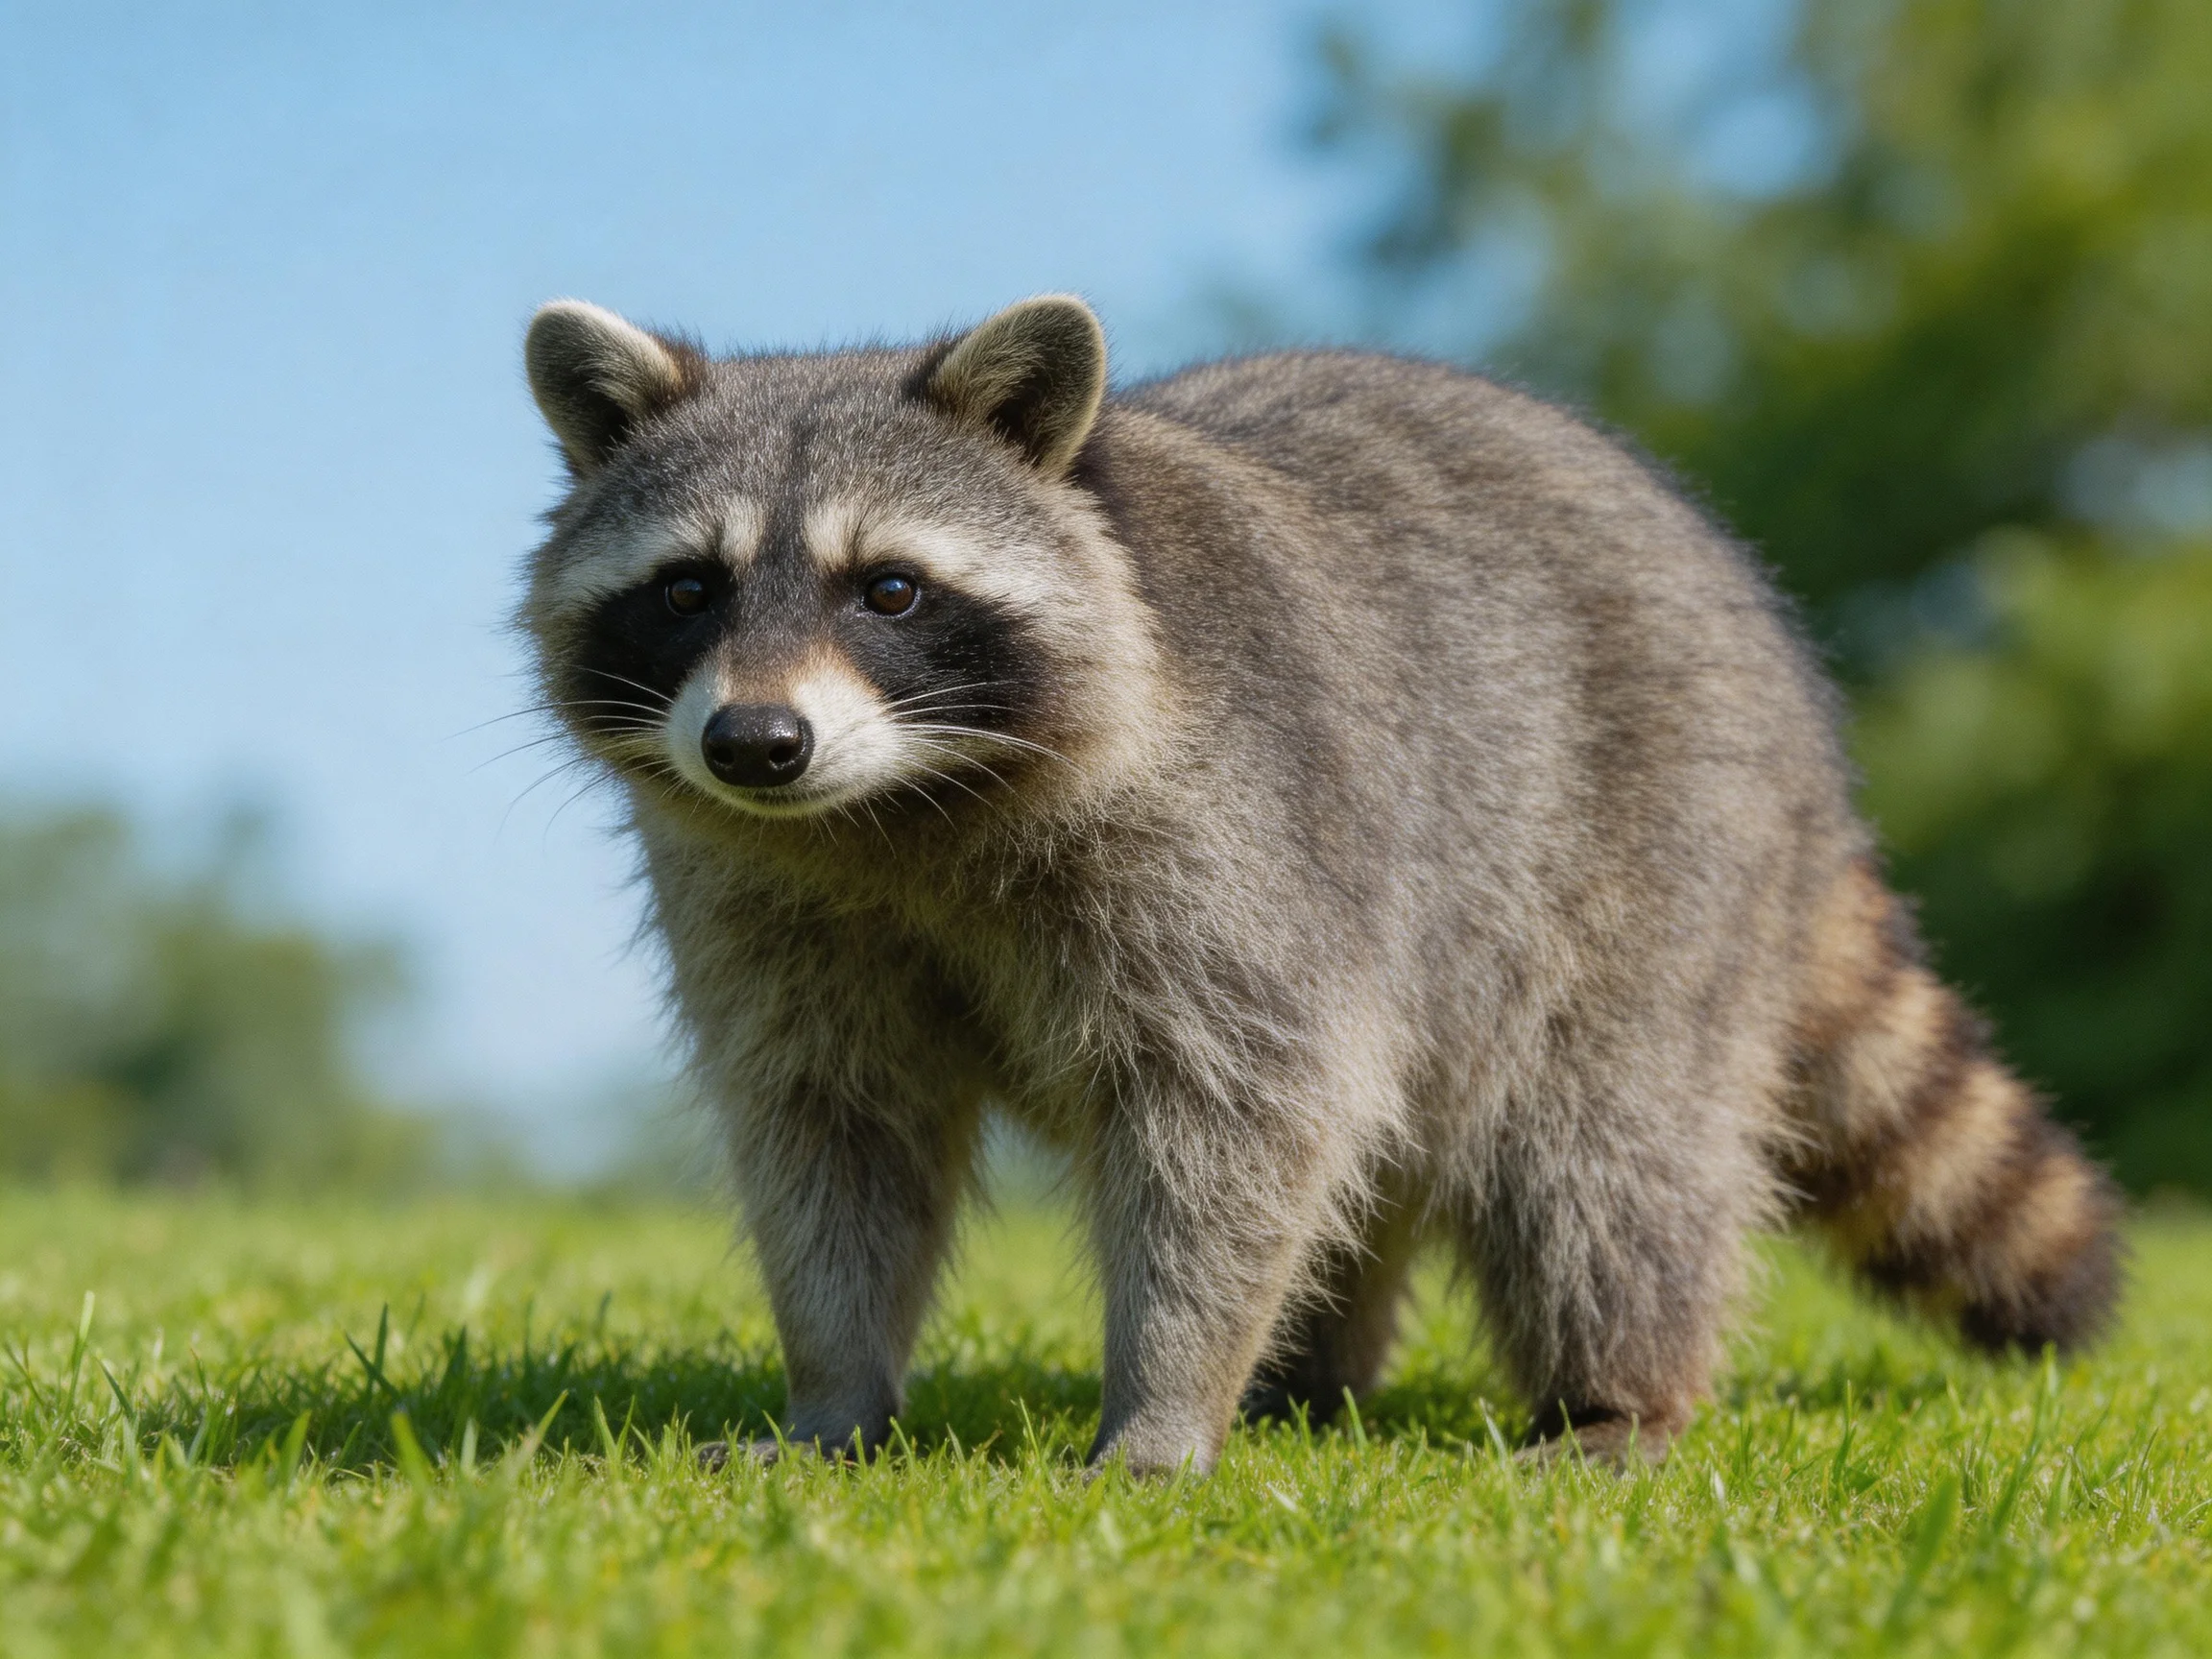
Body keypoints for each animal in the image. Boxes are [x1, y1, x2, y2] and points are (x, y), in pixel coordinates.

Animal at [518, 294, 2121, 1474]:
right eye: (688, 590)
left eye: (890, 590)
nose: (756, 743)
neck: (891, 809)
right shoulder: (770, 899)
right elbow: (833, 1134)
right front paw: (837, 1393)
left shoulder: (1237, 847)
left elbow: (1230, 1122)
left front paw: (1163, 1410)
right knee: (1387, 1150)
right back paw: (1312, 1378)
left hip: (1652, 851)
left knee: (1607, 1153)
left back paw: (1621, 1393)